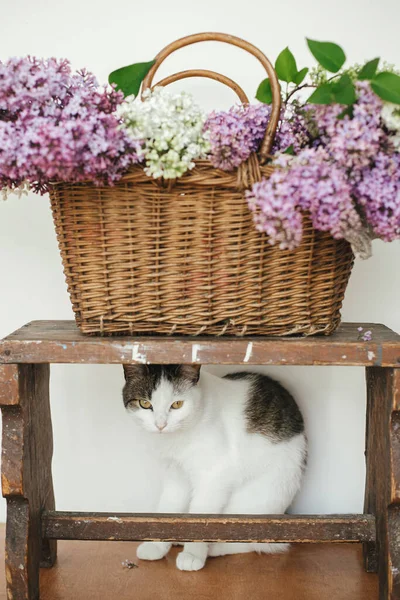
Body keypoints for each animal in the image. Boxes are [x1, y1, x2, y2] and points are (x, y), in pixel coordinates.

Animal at [122, 360, 306, 572]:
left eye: (177, 404)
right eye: (145, 404)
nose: (161, 425)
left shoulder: (215, 474)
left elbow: (202, 514)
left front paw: (193, 554)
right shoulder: (176, 474)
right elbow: (168, 506)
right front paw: (157, 546)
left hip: (257, 499)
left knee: (252, 542)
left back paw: (212, 548)